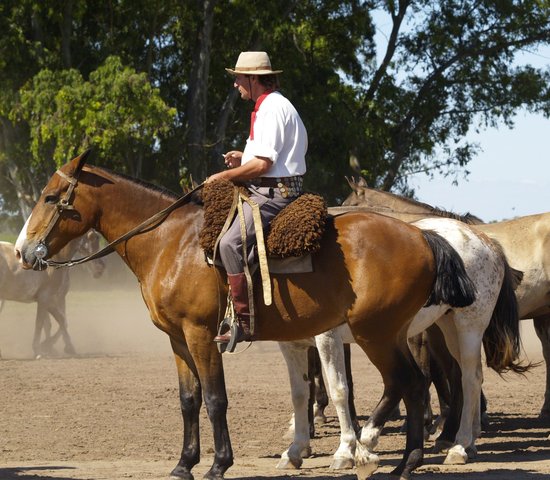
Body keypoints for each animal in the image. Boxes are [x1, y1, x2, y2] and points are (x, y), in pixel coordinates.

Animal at [15, 153, 476, 480]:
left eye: (51, 198)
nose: (22, 251)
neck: (172, 242)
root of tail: (424, 235)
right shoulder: (177, 339)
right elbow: (189, 400)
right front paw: (183, 464)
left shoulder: (201, 335)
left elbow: (215, 398)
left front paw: (219, 463)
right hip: (391, 334)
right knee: (415, 383)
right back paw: (407, 458)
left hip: (376, 334)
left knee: (413, 383)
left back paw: (406, 461)